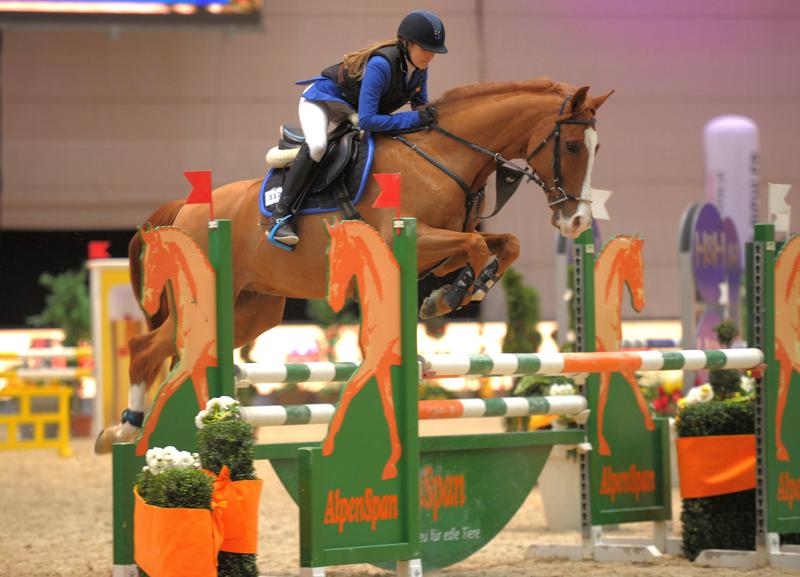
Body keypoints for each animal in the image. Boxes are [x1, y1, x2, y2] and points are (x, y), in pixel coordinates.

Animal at [97, 76, 616, 448]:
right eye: (572, 146)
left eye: (597, 149)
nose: (575, 221)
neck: (444, 157)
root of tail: (183, 210)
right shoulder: (405, 237)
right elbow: (474, 245)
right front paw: (454, 292)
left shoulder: (448, 240)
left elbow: (503, 244)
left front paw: (459, 288)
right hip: (207, 300)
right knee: (146, 348)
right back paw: (125, 430)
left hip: (251, 310)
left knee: (170, 351)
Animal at [320, 218, 404, 480]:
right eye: (327, 254)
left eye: (338, 256)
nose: (333, 301)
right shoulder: (382, 365)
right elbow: (389, 409)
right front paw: (391, 464)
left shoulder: (374, 360)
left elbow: (348, 389)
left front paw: (327, 445)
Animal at [592, 234, 652, 454]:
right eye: (636, 264)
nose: (641, 303)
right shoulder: (609, 355)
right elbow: (625, 378)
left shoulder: (608, 358)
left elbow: (602, 396)